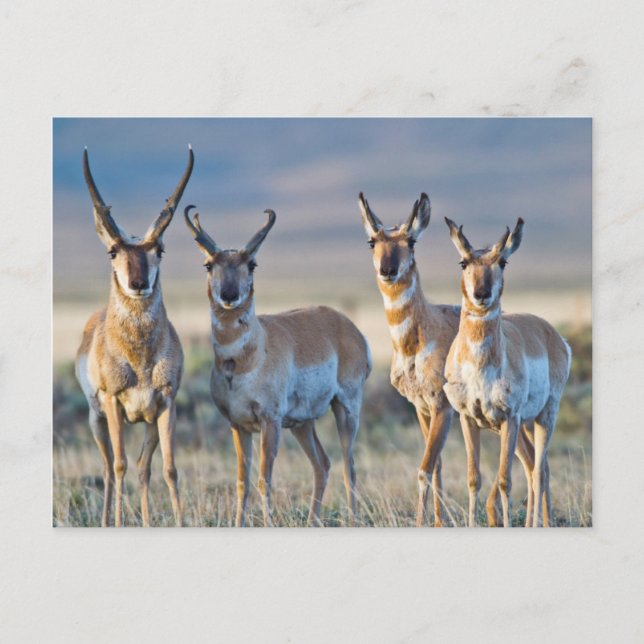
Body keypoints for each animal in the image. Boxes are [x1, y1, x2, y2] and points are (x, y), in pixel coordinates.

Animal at [75, 146, 193, 527]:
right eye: (113, 251)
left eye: (160, 250)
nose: (138, 283)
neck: (139, 360)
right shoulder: (113, 404)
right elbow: (119, 465)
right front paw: (117, 523)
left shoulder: (165, 404)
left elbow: (167, 469)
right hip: (97, 420)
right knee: (109, 468)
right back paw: (106, 520)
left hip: (146, 423)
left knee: (143, 469)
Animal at [184, 205, 372, 527]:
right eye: (208, 265)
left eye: (252, 264)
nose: (230, 295)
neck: (245, 359)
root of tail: (346, 325)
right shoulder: (238, 426)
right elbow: (242, 482)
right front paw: (238, 524)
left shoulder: (269, 422)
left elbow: (264, 480)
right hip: (302, 423)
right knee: (322, 464)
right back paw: (312, 521)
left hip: (346, 409)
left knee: (349, 467)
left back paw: (352, 519)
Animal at [359, 193, 543, 528]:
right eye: (372, 241)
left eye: (411, 241)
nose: (387, 270)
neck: (419, 337)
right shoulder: (421, 408)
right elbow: (437, 466)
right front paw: (438, 522)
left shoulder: (442, 408)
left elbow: (424, 469)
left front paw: (424, 523)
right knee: (532, 460)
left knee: (534, 463)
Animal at [443, 217, 571, 527]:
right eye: (463, 262)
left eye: (502, 261)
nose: (481, 294)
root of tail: (553, 334)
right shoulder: (468, 419)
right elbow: (473, 479)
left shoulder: (508, 417)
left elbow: (504, 480)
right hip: (523, 426)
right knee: (533, 465)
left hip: (543, 416)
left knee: (539, 470)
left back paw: (539, 524)